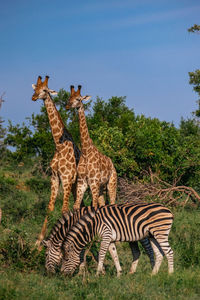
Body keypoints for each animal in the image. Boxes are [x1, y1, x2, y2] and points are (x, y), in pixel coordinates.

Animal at [32, 75, 80, 248]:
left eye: (45, 90)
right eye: (35, 88)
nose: (33, 97)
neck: (59, 146)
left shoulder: (66, 179)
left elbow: (64, 210)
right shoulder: (54, 177)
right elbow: (50, 207)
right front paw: (38, 241)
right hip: (75, 186)